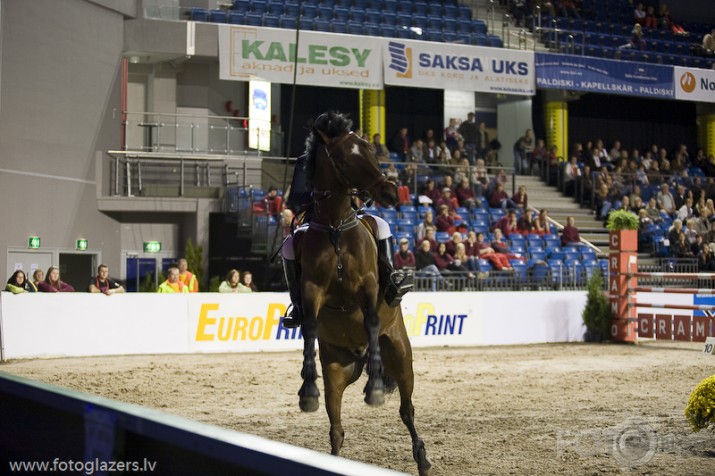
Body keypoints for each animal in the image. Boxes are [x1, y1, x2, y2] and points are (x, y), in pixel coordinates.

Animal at [296, 112, 430, 476]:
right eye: (344, 160)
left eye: (370, 150)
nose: (389, 190)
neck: (334, 227)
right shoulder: (312, 290)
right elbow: (309, 327)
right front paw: (307, 387)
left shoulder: (368, 286)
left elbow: (370, 320)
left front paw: (375, 390)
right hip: (337, 370)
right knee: (336, 428)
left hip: (402, 358)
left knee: (407, 410)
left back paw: (422, 457)